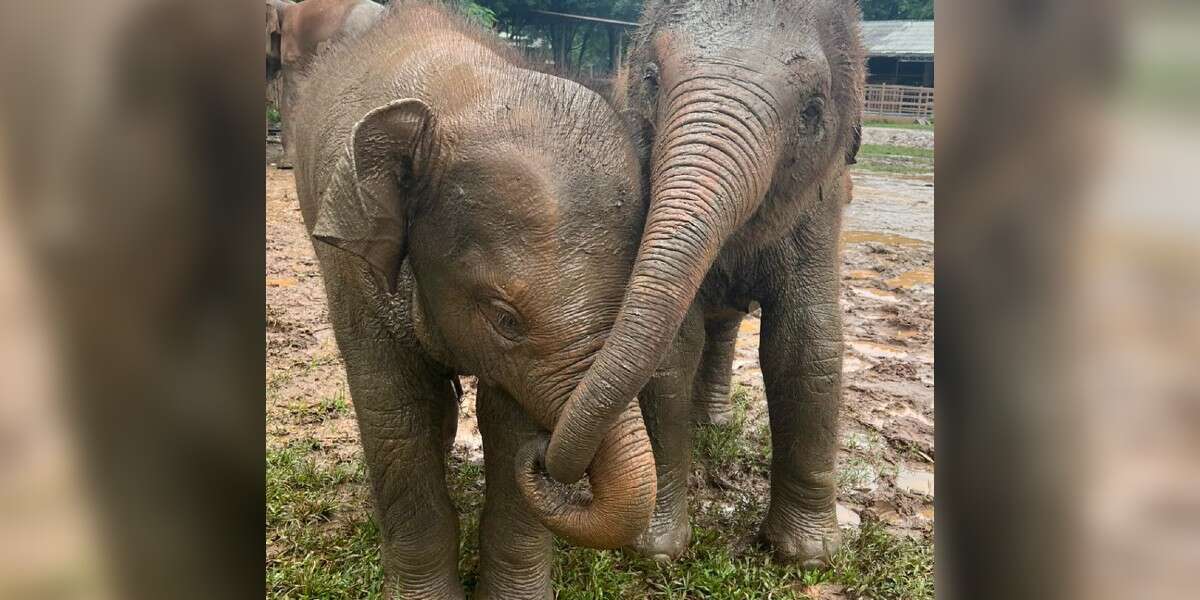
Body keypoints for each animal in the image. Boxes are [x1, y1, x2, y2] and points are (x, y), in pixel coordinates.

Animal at [286, 2, 672, 597]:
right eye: (504, 318)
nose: (547, 461)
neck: (464, 89)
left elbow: (509, 419)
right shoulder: (353, 269)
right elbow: (395, 412)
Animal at [542, 0, 864, 568]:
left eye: (812, 110)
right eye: (651, 79)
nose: (544, 465)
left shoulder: (820, 209)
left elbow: (806, 344)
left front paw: (806, 556)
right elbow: (672, 347)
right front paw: (655, 551)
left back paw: (712, 424)